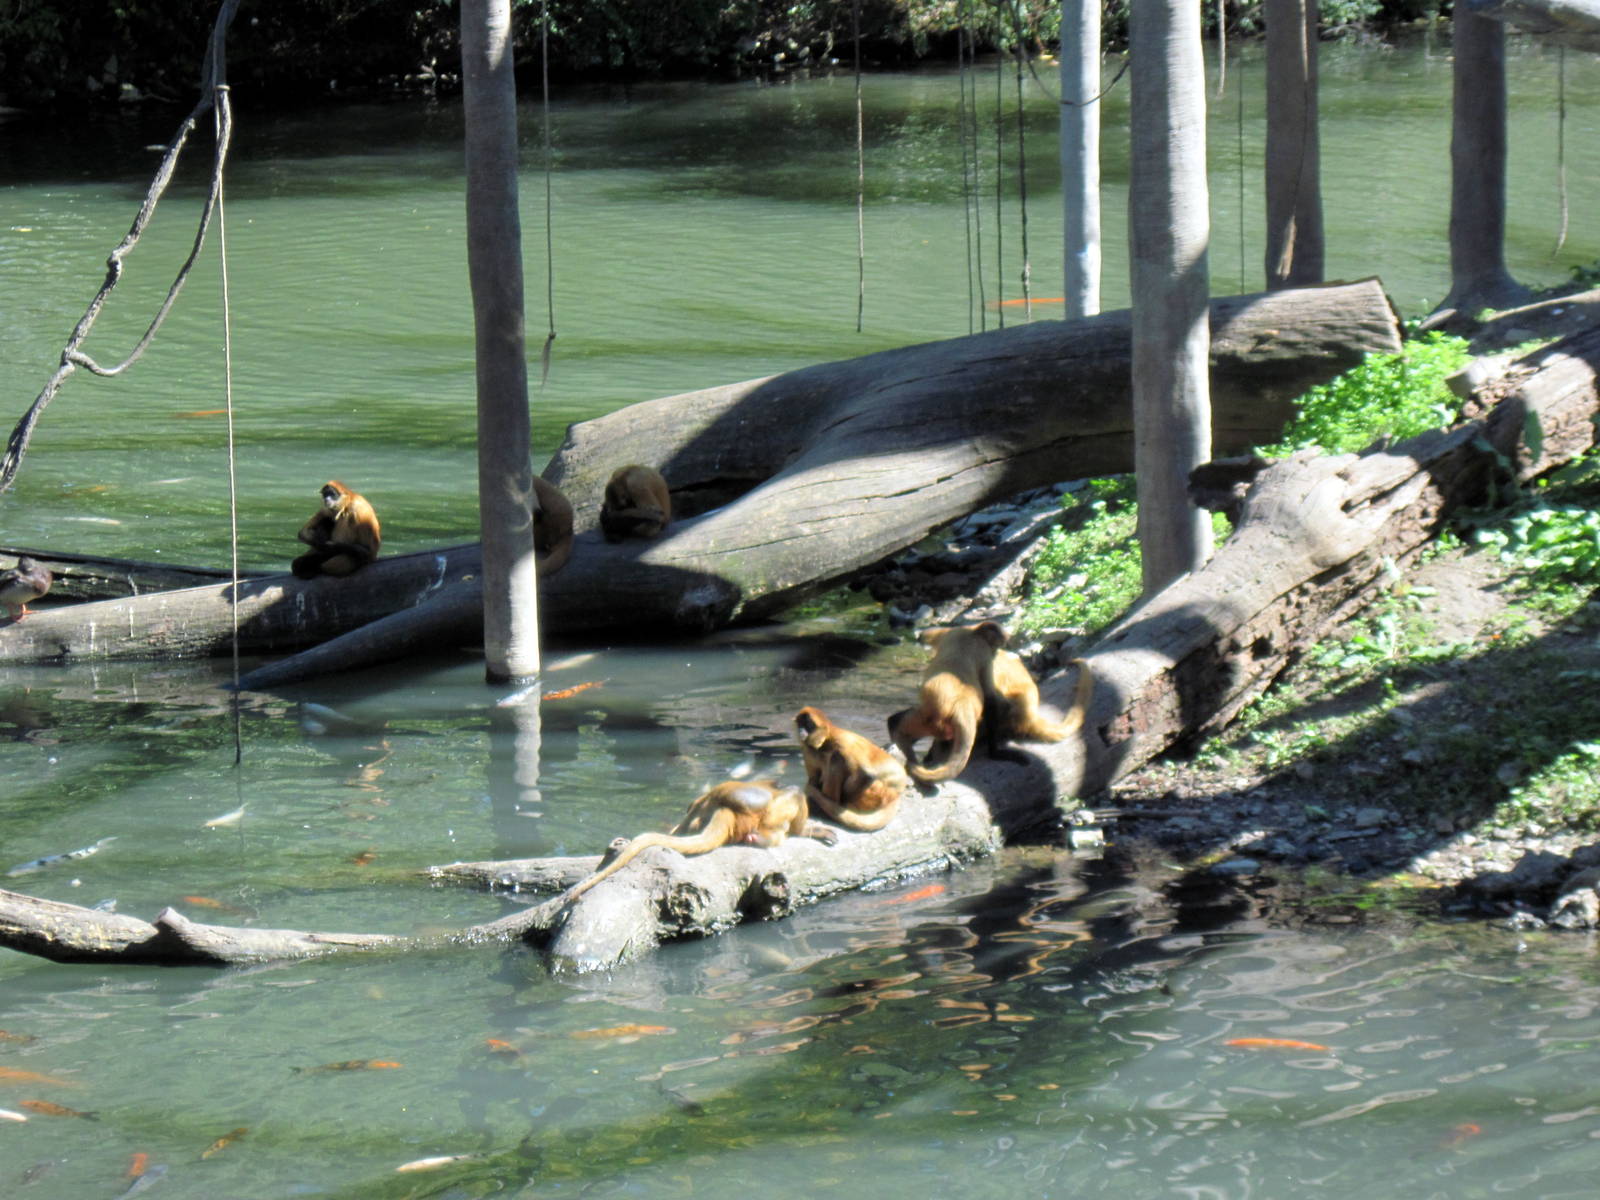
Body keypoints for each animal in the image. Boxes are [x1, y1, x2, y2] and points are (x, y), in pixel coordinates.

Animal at [886, 621, 1008, 784]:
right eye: (996, 646)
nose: (997, 651)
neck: (974, 633)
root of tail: (961, 704)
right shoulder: (984, 652)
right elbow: (990, 698)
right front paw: (994, 751)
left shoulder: (956, 631)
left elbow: (924, 634)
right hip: (930, 720)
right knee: (898, 723)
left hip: (937, 725)